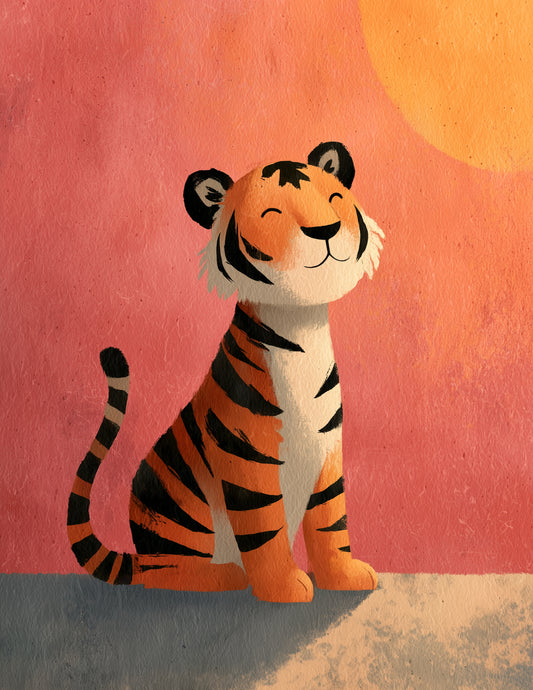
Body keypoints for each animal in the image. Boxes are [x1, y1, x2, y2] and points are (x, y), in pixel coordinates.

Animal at [67, 141, 384, 603]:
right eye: (271, 212)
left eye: (333, 198)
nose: (325, 230)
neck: (301, 323)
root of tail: (137, 553)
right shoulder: (245, 453)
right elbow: (265, 528)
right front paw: (284, 587)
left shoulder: (326, 447)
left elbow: (330, 519)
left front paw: (345, 576)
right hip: (172, 510)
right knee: (163, 573)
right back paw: (224, 575)